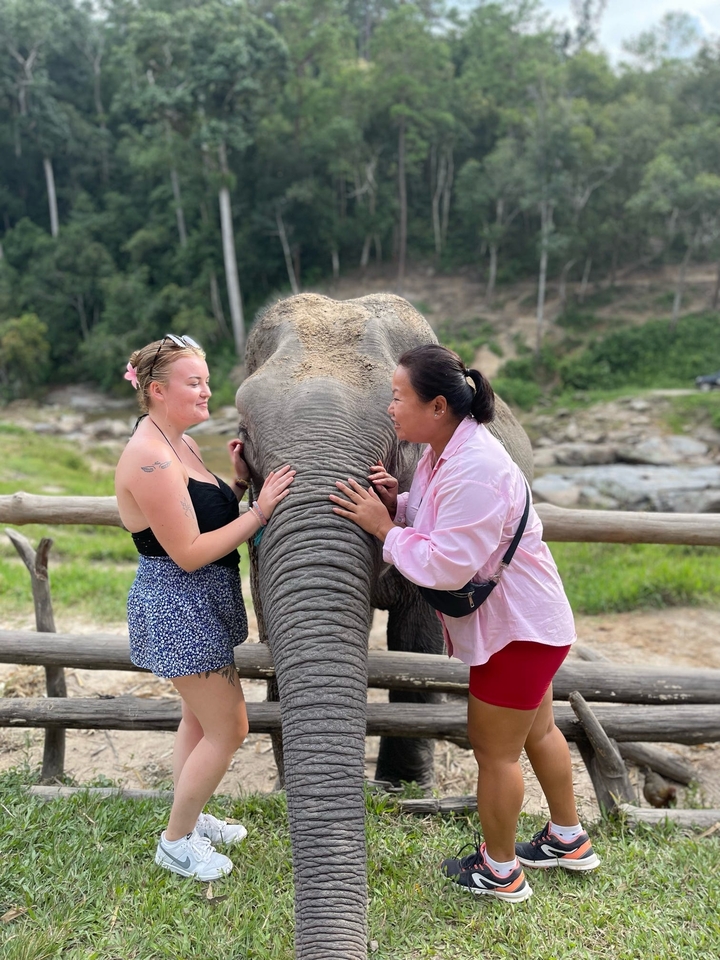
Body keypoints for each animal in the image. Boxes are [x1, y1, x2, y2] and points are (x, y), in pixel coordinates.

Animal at [235, 292, 533, 960]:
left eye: (396, 444)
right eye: (244, 441)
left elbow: (417, 629)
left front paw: (403, 791)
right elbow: (268, 616)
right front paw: (285, 789)